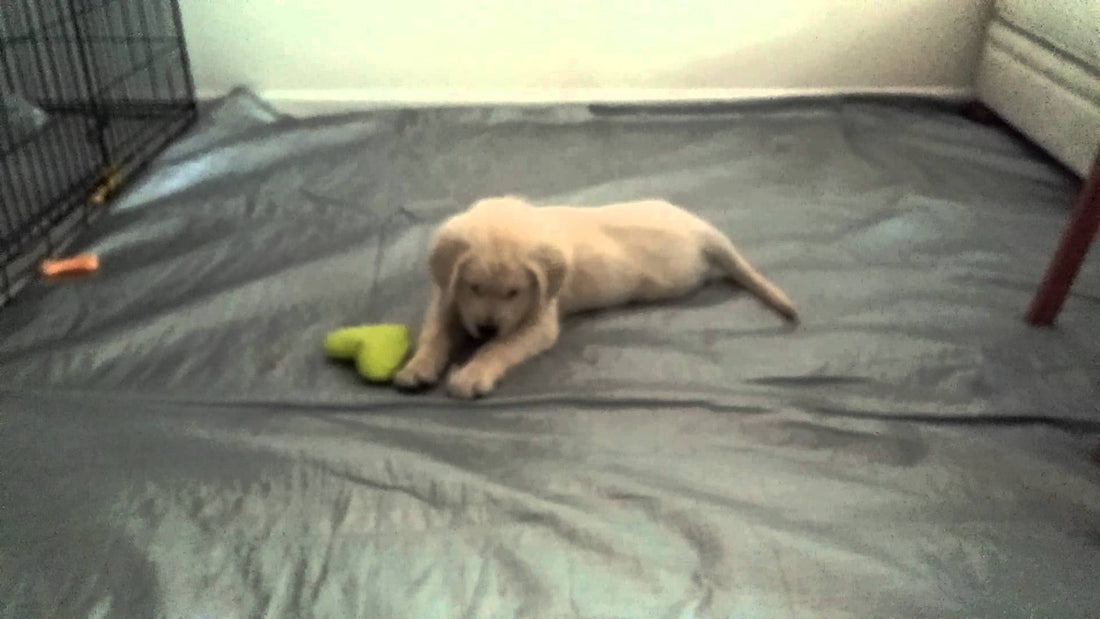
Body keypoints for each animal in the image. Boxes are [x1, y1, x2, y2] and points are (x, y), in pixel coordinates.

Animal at [396, 199, 800, 402]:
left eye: (514, 292)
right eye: (474, 287)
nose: (486, 328)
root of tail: (703, 229)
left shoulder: (539, 320)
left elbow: (501, 348)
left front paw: (473, 373)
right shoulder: (446, 296)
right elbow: (434, 333)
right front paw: (418, 366)